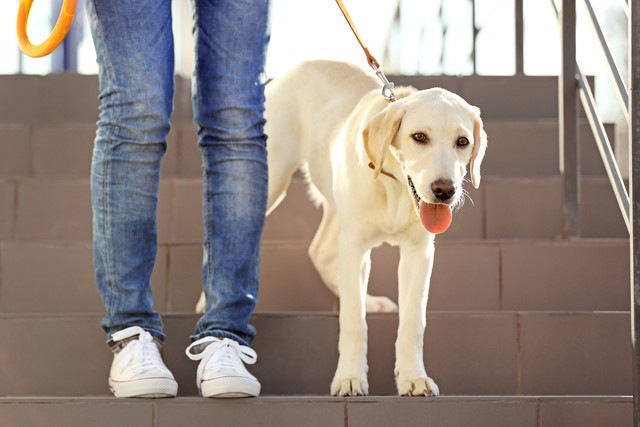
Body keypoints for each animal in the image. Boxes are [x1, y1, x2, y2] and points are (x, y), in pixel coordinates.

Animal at [195, 60, 484, 398]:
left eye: (462, 142)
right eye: (419, 137)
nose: (444, 190)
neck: (395, 186)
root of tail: (304, 63)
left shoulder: (419, 253)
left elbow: (413, 321)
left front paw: (414, 377)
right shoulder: (356, 246)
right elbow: (353, 320)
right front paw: (349, 377)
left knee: (321, 253)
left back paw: (369, 300)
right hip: (270, 182)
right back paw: (205, 302)